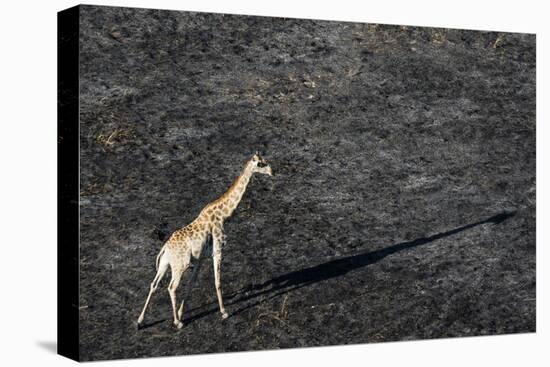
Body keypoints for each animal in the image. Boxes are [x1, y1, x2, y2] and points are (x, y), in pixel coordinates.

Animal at [138, 152, 274, 330]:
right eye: (261, 164)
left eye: (265, 161)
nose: (272, 172)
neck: (224, 215)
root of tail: (165, 248)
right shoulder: (218, 251)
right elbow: (217, 281)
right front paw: (224, 312)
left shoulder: (201, 258)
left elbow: (192, 283)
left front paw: (182, 312)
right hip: (180, 266)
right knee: (171, 287)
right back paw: (177, 322)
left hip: (165, 264)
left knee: (154, 285)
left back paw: (140, 321)